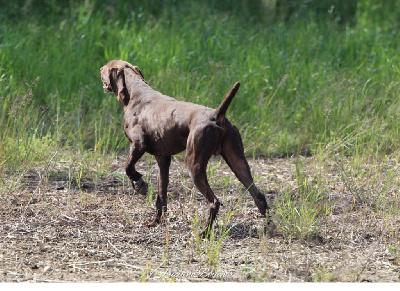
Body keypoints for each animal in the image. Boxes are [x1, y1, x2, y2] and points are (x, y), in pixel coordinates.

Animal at [100, 60, 276, 237]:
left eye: (106, 68)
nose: (100, 68)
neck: (136, 93)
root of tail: (217, 114)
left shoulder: (138, 144)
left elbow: (128, 167)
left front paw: (140, 185)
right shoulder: (162, 159)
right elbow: (161, 196)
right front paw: (155, 221)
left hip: (194, 165)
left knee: (214, 202)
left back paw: (205, 233)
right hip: (238, 163)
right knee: (259, 197)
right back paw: (269, 229)